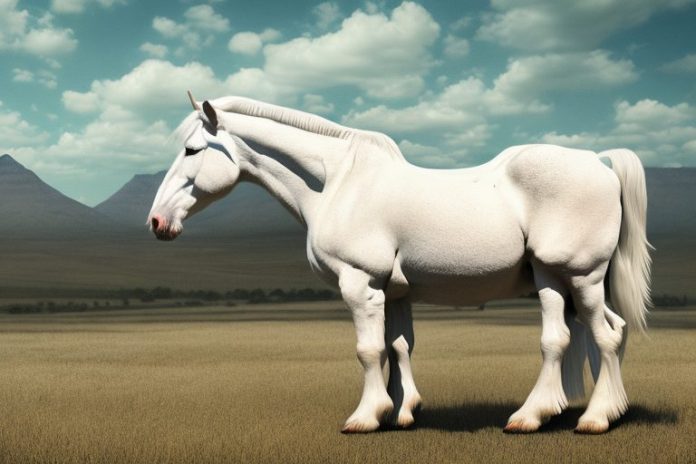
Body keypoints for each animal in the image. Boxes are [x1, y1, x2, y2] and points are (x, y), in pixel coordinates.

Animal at [148, 92, 651, 434]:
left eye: (192, 150)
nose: (157, 222)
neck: (337, 183)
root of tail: (599, 162)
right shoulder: (394, 291)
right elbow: (399, 347)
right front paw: (402, 411)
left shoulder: (360, 284)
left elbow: (369, 350)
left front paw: (365, 417)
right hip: (557, 280)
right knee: (595, 334)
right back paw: (581, 410)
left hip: (579, 276)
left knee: (597, 338)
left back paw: (582, 419)